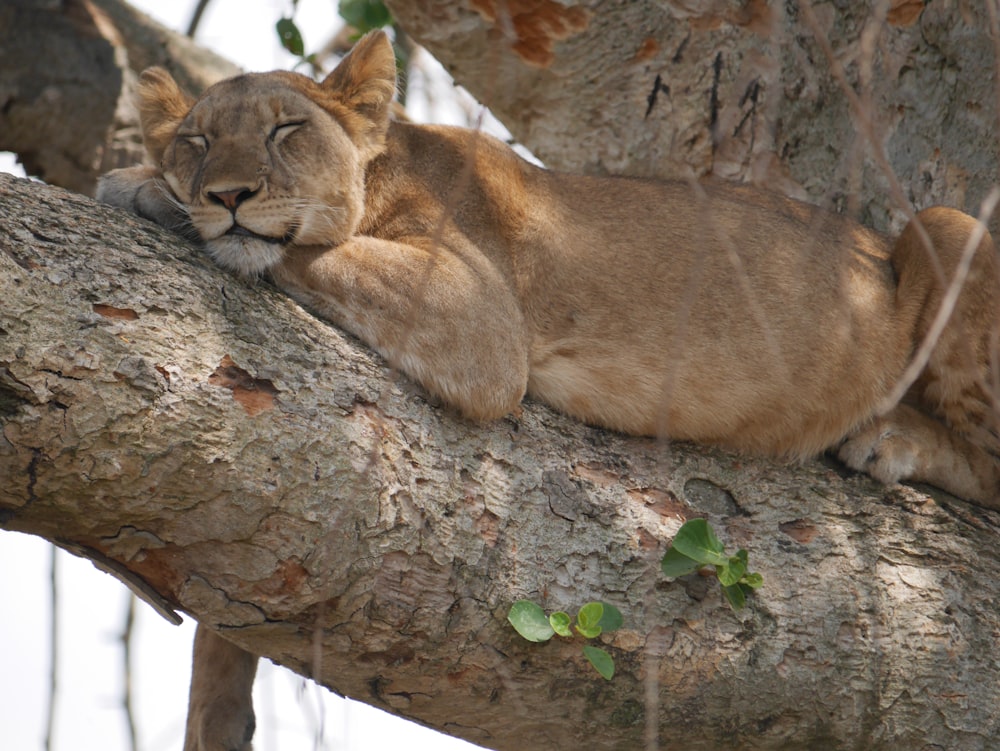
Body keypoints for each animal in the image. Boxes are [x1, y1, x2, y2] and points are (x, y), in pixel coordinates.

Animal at [97, 30, 1000, 751]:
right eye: (197, 141)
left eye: (286, 131)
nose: (226, 195)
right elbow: (225, 614)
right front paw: (216, 717)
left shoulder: (479, 320)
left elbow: (309, 250)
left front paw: (139, 189)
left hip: (946, 225)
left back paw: (894, 437)